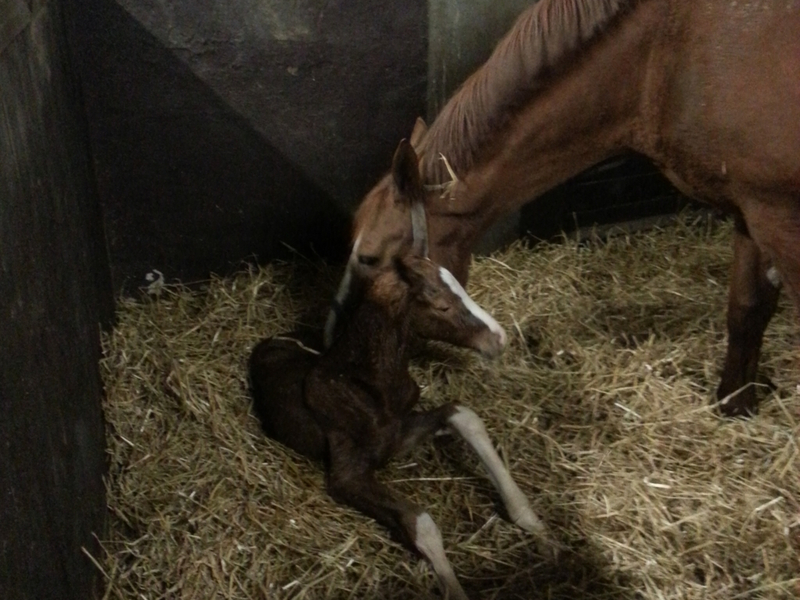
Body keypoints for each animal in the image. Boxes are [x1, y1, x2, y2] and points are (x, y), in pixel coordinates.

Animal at [250, 251, 556, 596]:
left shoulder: (400, 433)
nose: (500, 339)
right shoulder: (347, 475)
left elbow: (463, 415)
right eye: (443, 306)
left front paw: (537, 529)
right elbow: (421, 522)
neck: (365, 384)